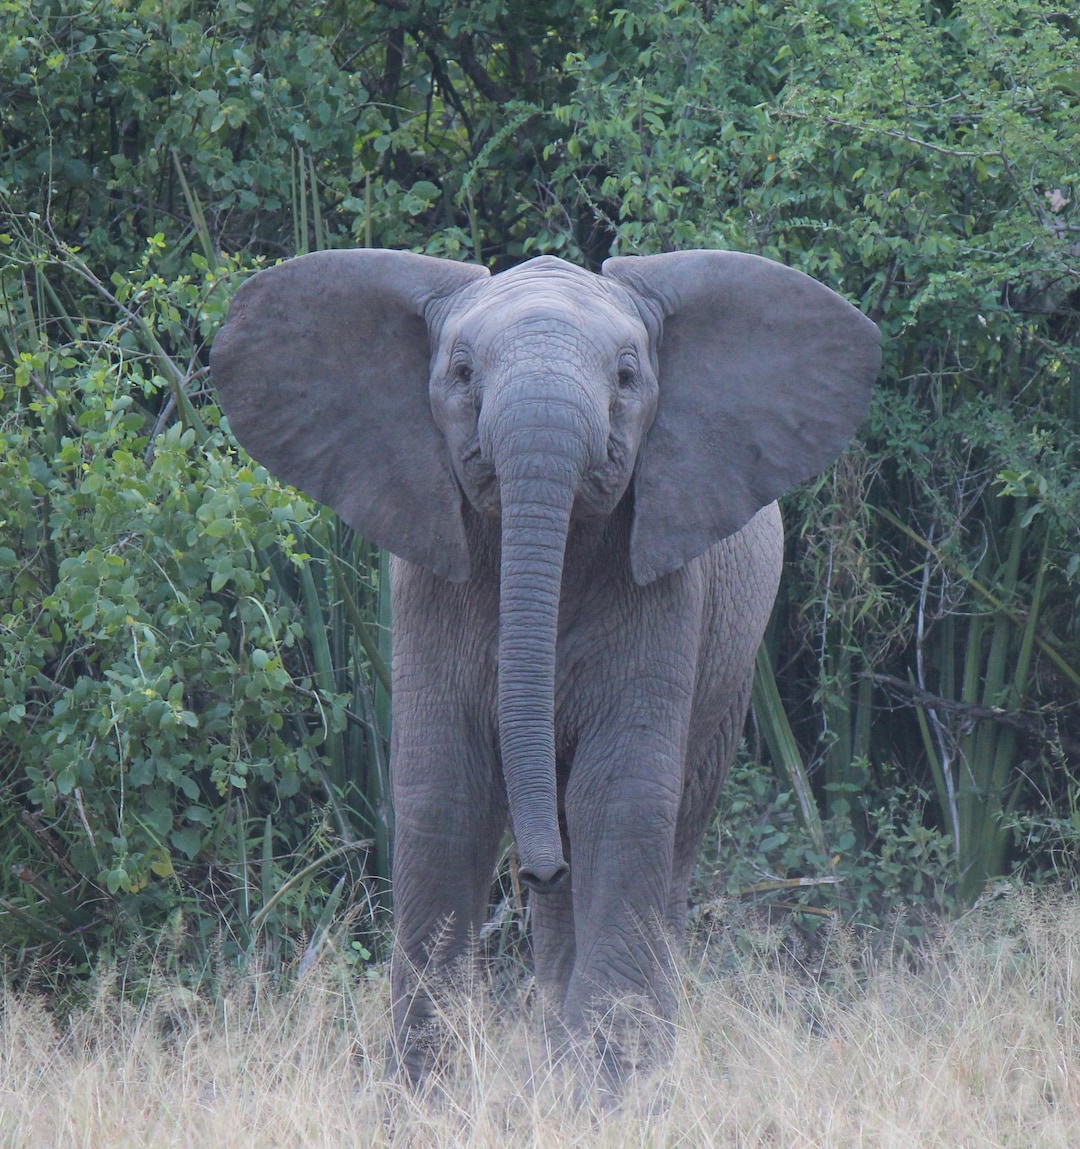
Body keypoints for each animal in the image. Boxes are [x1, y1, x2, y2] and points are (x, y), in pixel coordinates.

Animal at [210, 247, 880, 1089]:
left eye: (626, 375)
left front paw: (610, 1096)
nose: (538, 872)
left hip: (733, 665)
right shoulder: (428, 582)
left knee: (671, 841)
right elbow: (444, 795)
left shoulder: (666, 587)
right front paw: (423, 1100)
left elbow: (620, 797)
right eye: (462, 372)